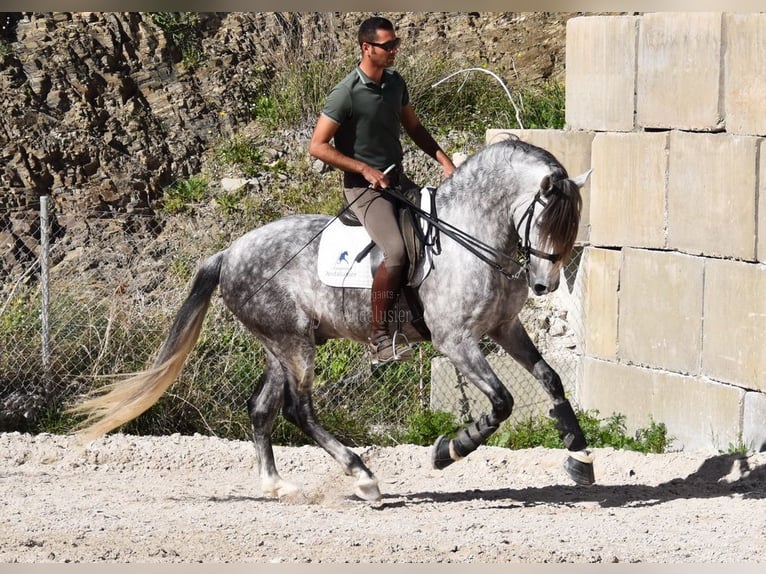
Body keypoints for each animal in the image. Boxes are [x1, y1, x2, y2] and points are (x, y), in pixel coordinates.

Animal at [69, 137, 596, 502]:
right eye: (546, 220)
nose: (543, 285)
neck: (469, 233)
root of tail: (228, 253)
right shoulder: (457, 340)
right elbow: (503, 402)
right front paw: (450, 449)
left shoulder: (503, 328)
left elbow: (549, 377)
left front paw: (580, 457)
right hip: (294, 343)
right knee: (298, 410)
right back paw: (363, 479)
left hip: (282, 344)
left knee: (261, 408)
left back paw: (277, 486)